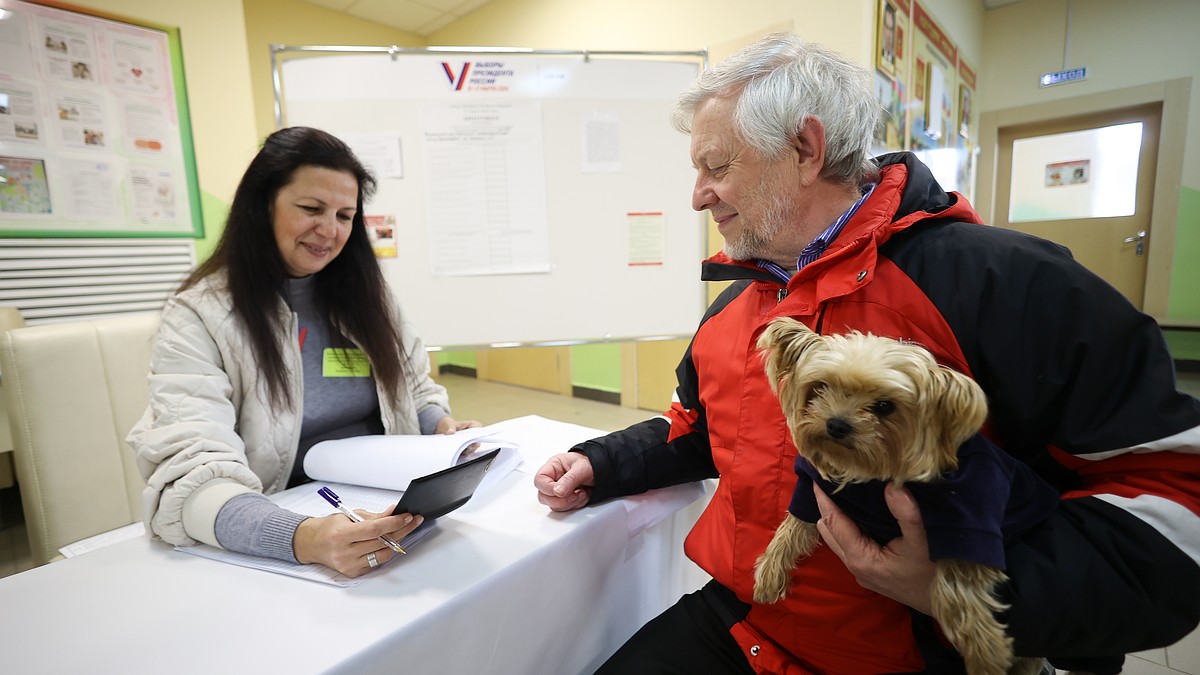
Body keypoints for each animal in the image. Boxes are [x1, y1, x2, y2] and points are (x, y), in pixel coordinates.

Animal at [753, 317, 1056, 672]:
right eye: (821, 387)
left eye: (884, 406)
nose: (836, 425)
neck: (867, 477)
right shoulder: (814, 487)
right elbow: (793, 526)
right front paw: (770, 574)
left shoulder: (967, 510)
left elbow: (958, 583)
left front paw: (985, 652)